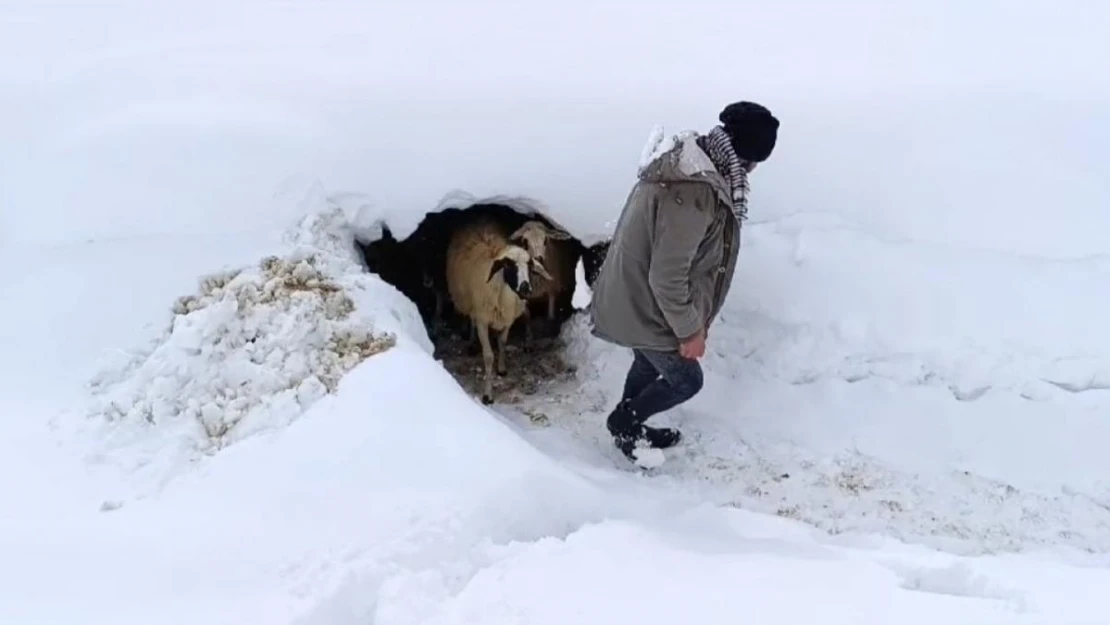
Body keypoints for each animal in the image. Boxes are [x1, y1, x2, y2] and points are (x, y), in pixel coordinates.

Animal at [439, 216, 548, 406]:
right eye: (509, 265)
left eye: (529, 265)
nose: (525, 289)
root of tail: (479, 217)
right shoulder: (483, 320)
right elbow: (489, 356)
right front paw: (487, 395)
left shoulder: (507, 320)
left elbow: (502, 343)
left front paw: (502, 369)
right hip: (471, 302)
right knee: (472, 320)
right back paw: (471, 342)